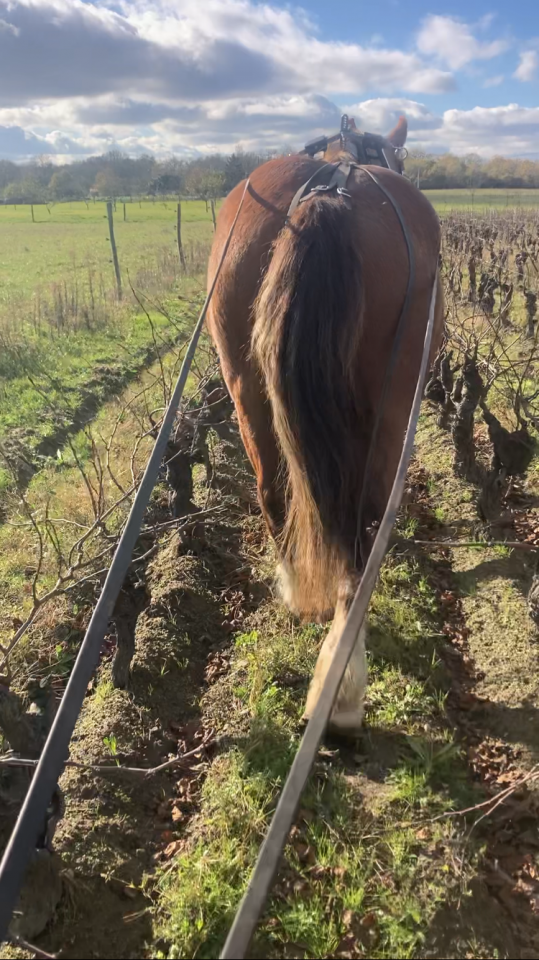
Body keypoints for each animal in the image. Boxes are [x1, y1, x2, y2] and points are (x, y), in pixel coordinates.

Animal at [206, 116, 444, 734]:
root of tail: (329, 193)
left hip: (243, 382)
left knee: (271, 487)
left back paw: (298, 593)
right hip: (393, 401)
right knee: (363, 518)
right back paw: (344, 685)